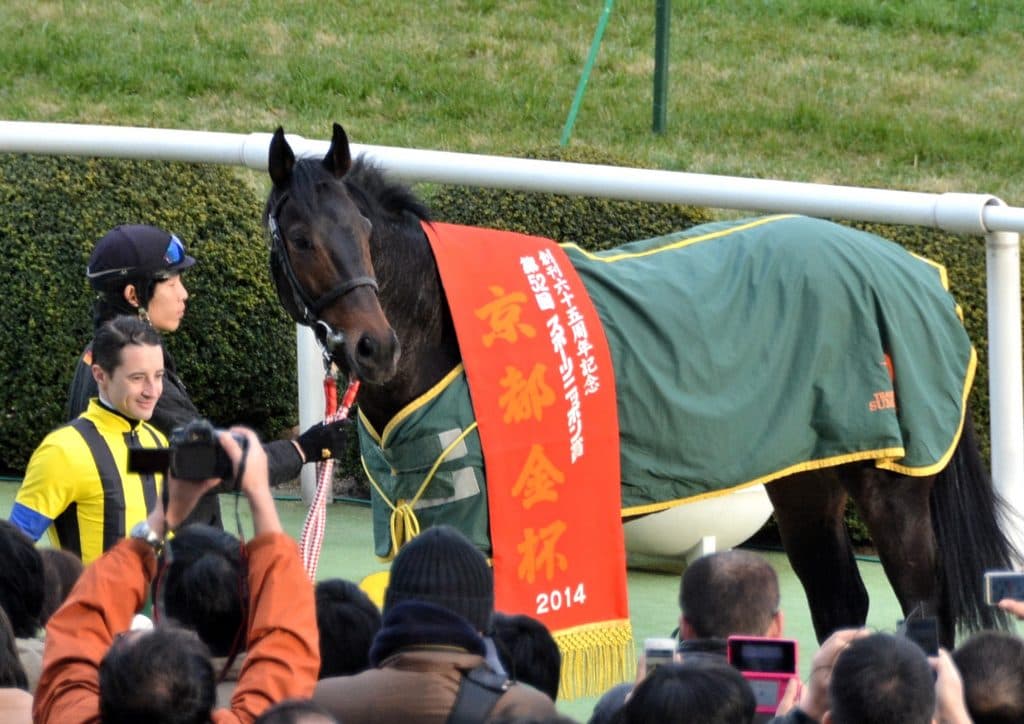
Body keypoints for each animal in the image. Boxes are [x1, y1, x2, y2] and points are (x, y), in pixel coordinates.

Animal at [264, 122, 1015, 647]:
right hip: (808, 477)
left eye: (361, 228)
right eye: (299, 237)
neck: (445, 330)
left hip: (893, 484)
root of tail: (922, 277)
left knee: (923, 607)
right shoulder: (426, 509)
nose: (374, 346)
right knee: (840, 603)